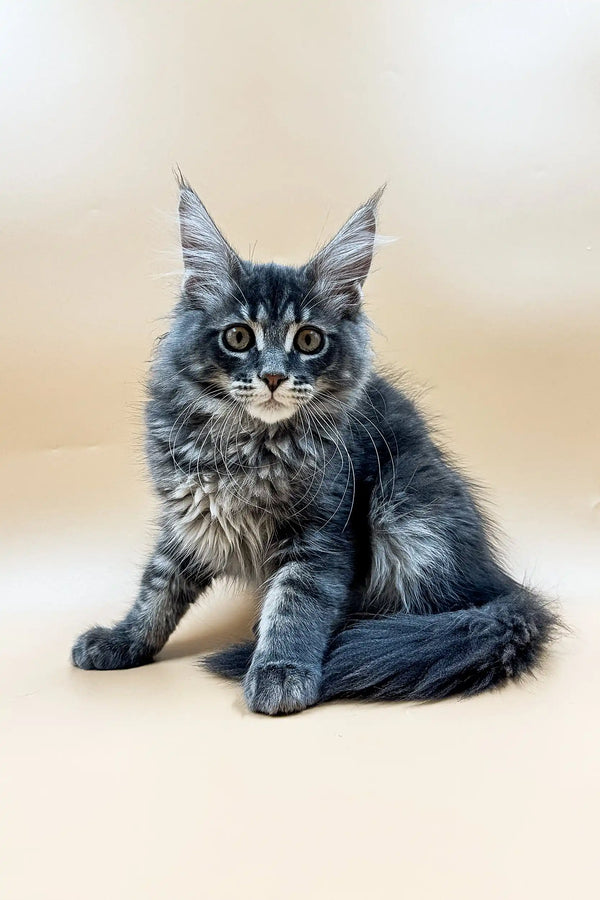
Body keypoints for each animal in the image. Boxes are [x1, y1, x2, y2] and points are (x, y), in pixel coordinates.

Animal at [72, 174, 560, 712]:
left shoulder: (323, 529)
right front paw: (123, 640)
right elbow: (158, 586)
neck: (248, 446)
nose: (272, 377)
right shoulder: (191, 518)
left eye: (308, 340)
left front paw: (281, 670)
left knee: (434, 617)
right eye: (238, 337)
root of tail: (500, 582)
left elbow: (297, 602)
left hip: (405, 510)